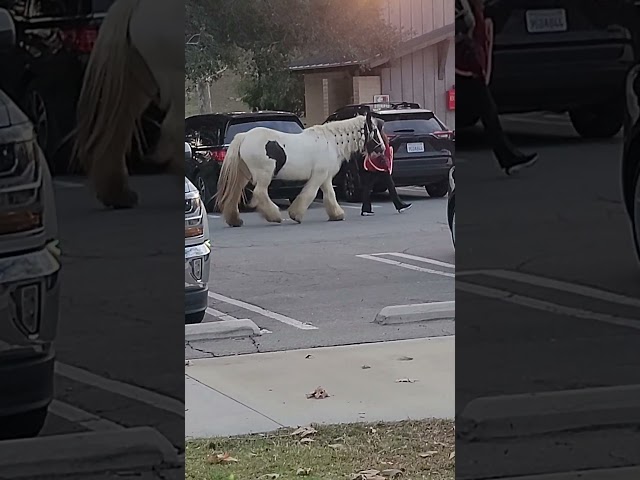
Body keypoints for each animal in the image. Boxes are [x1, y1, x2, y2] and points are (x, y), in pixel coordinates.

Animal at [215, 112, 384, 227]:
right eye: (374, 131)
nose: (382, 149)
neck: (331, 142)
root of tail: (243, 136)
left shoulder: (326, 178)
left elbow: (330, 195)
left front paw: (336, 214)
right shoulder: (318, 175)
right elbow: (310, 193)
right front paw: (295, 215)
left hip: (244, 175)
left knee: (234, 194)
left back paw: (235, 220)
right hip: (264, 175)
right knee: (259, 193)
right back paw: (274, 216)